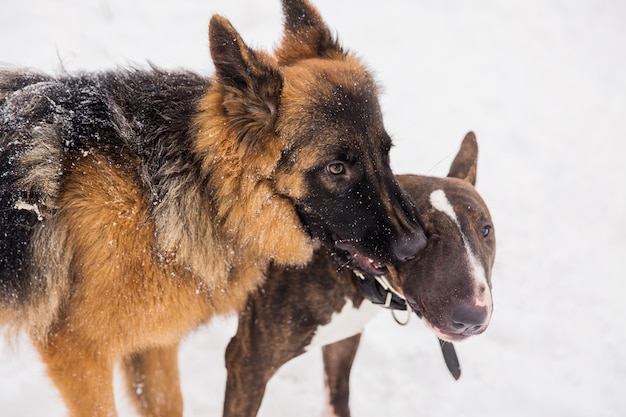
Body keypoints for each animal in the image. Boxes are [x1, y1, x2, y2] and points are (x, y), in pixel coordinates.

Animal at [222, 132, 494, 416]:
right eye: (426, 236)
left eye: (486, 230)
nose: (472, 317)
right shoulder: (248, 364)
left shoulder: (344, 340)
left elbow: (338, 396)